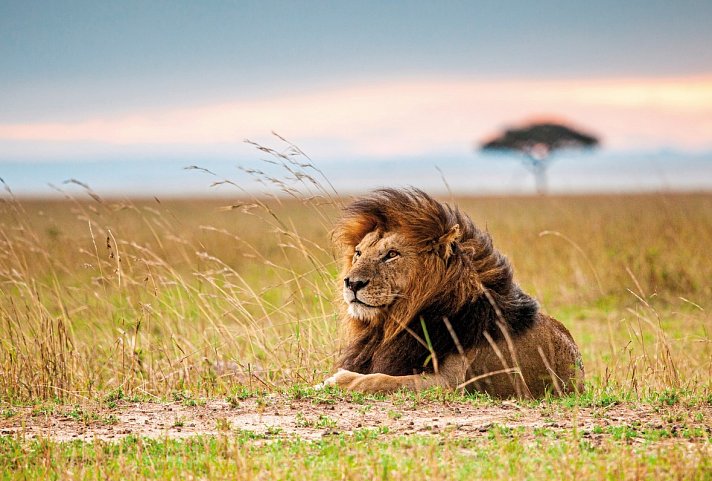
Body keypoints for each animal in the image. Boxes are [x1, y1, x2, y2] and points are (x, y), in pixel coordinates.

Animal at [322, 188, 584, 398]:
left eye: (392, 254)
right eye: (358, 253)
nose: (352, 283)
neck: (393, 323)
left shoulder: (450, 383)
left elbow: (381, 380)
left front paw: (338, 380)